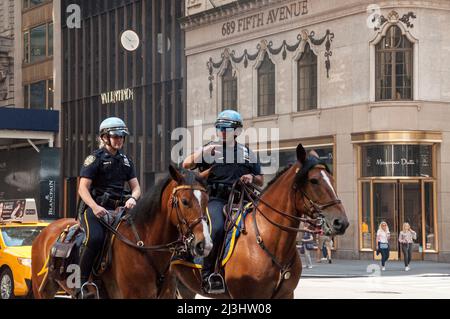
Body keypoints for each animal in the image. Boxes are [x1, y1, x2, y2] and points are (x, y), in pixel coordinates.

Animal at [32, 165, 212, 300]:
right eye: (185, 201)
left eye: (206, 200)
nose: (205, 244)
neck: (144, 244)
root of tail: (45, 231)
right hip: (42, 290)